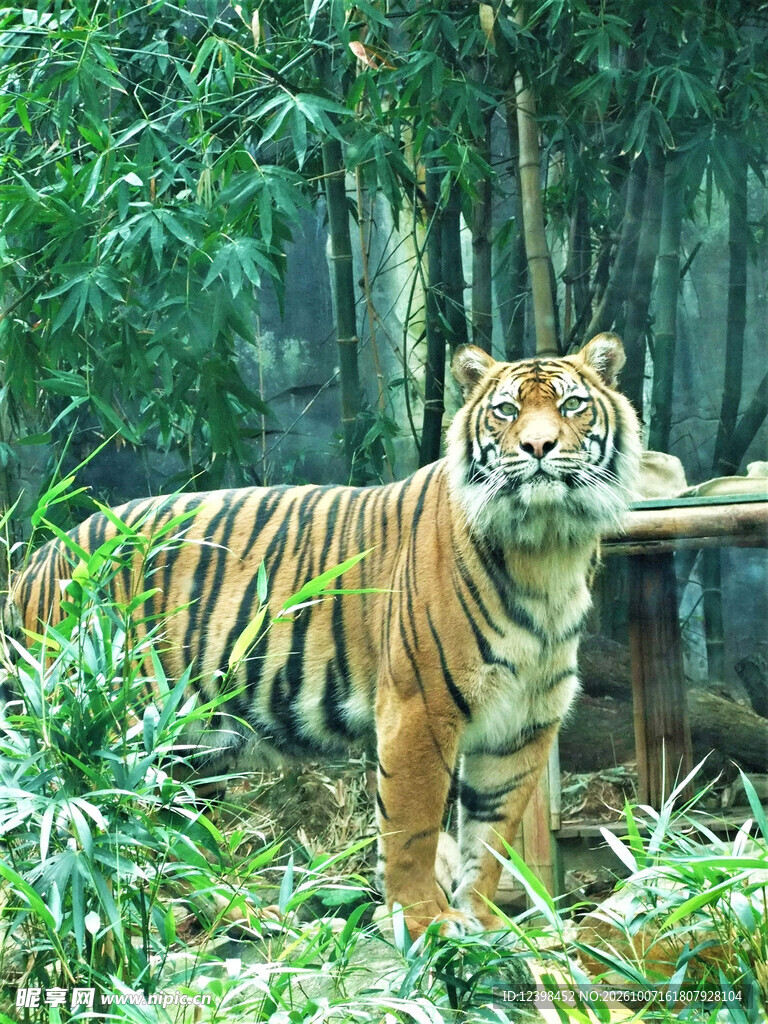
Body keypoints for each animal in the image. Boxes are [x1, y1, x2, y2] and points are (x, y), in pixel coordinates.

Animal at [6, 332, 641, 939]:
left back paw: (243, 916)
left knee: (171, 838)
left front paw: (486, 923)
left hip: (186, 748)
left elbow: (492, 837)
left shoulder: (525, 721)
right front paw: (424, 921)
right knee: (86, 831)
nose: (538, 447)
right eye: (506, 411)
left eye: (572, 405)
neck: (548, 550)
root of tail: (37, 559)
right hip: (103, 730)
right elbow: (412, 829)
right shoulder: (419, 706)